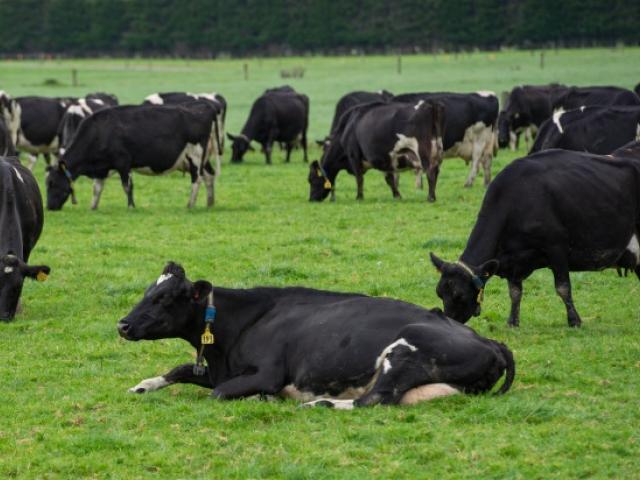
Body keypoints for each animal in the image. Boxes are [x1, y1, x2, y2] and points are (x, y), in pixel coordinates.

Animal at [46, 103, 219, 210]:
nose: (49, 207)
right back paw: (210, 203)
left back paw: (190, 204)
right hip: (203, 159)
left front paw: (131, 206)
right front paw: (93, 207)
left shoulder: (123, 162)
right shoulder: (103, 166)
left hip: (195, 156)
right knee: (209, 176)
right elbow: (96, 188)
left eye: (52, 183)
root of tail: (204, 106)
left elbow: (127, 186)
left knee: (196, 179)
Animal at [116, 262, 516, 408]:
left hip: (403, 353)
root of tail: (491, 342)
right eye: (148, 291)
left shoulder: (267, 373)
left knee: (373, 400)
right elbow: (182, 369)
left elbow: (218, 392)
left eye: (165, 297)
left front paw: (263, 398)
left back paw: (317, 403)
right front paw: (143, 385)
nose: (122, 324)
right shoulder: (217, 369)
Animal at [308, 99, 440, 201]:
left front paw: (359, 197)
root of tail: (429, 106)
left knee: (430, 172)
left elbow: (359, 178)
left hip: (422, 152)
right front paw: (397, 196)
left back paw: (430, 198)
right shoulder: (385, 159)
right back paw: (433, 196)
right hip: (436, 152)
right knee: (436, 171)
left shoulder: (353, 155)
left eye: (311, 180)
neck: (347, 128)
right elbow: (389, 179)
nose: (311, 199)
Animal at [430, 142, 640, 328]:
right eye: (439, 293)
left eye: (459, 295)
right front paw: (513, 322)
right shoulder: (513, 262)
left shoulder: (556, 247)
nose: (449, 321)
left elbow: (563, 287)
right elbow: (515, 293)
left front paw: (574, 321)